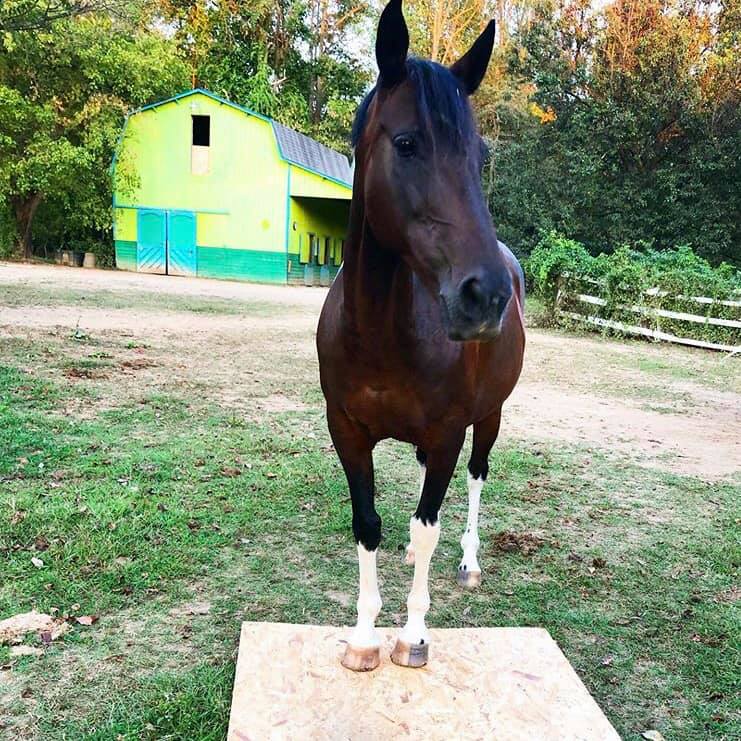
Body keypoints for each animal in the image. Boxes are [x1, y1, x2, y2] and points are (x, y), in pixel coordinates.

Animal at [318, 0, 528, 672]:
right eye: (407, 143)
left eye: (480, 156)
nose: (485, 296)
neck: (382, 333)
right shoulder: (347, 430)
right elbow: (369, 523)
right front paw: (363, 637)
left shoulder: (447, 434)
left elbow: (427, 522)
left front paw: (412, 634)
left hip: (488, 419)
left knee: (476, 478)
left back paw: (468, 561)